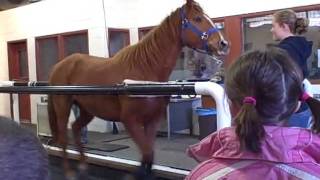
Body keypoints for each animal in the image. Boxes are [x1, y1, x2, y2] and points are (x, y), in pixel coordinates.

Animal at [47, 0, 228, 179]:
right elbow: (146, 153)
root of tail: (59, 66)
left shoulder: (152, 120)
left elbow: (149, 155)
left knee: (76, 128)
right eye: (197, 18)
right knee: (64, 138)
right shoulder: (130, 120)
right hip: (63, 106)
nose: (223, 44)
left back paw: (83, 166)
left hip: (87, 110)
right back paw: (69, 172)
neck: (144, 72)